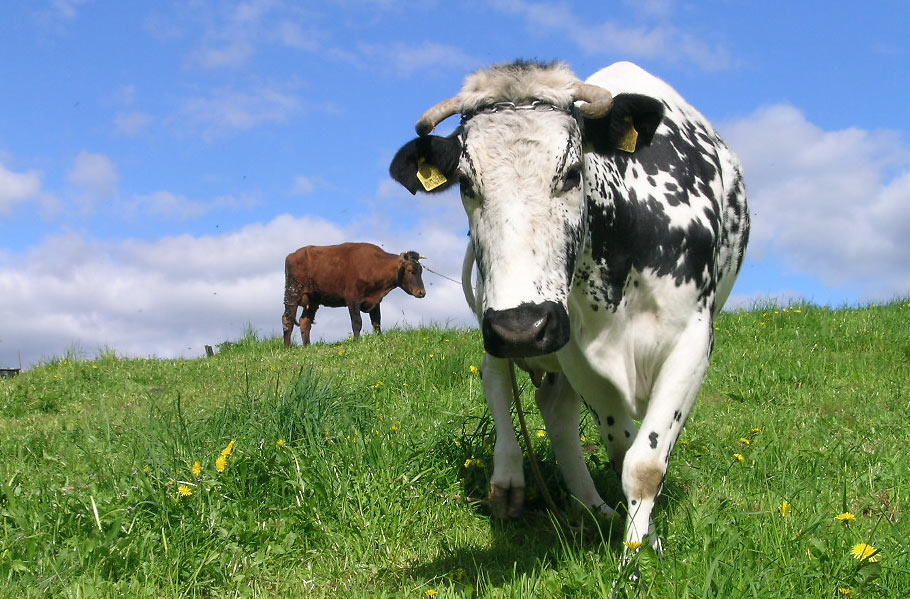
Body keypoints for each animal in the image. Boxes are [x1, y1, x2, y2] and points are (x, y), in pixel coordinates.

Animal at [282, 242, 426, 347]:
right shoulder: (352, 300)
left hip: (313, 299)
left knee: (304, 321)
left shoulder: (375, 301)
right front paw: (357, 343)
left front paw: (379, 339)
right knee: (287, 319)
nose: (422, 292)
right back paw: (287, 347)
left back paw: (307, 346)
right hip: (292, 293)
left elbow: (377, 322)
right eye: (409, 270)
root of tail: (292, 255)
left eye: (421, 270)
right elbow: (357, 323)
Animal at [389, 60, 749, 553]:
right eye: (465, 182)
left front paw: (641, 547)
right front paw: (637, 545)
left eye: (574, 172)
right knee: (501, 383)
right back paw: (515, 481)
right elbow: (624, 451)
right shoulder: (576, 350)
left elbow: (645, 462)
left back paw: (592, 508)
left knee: (554, 407)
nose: (522, 326)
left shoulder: (692, 341)